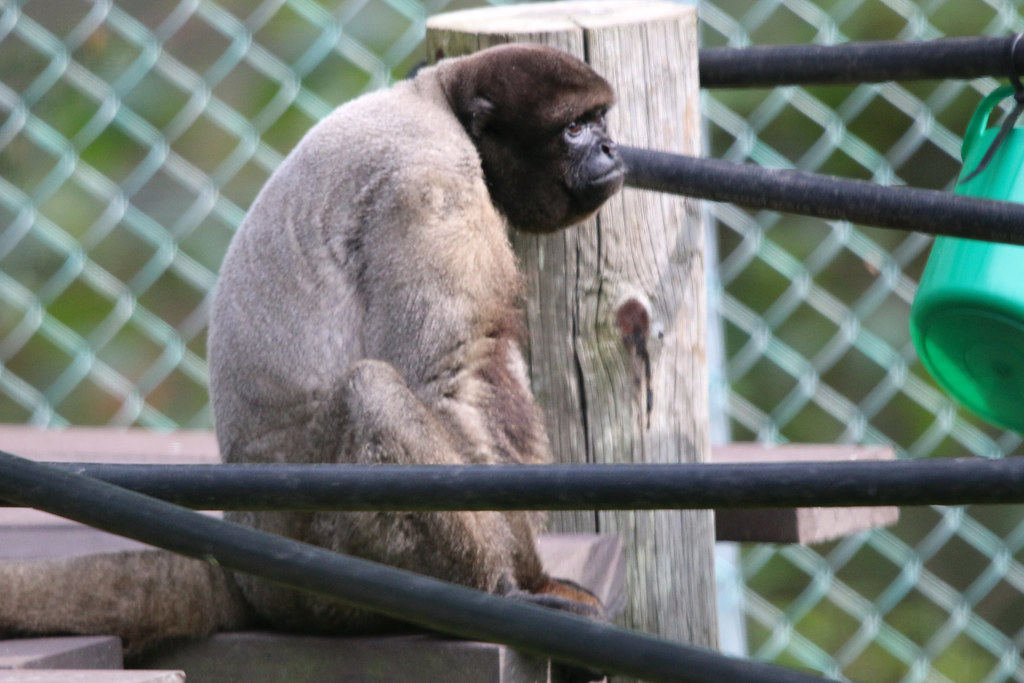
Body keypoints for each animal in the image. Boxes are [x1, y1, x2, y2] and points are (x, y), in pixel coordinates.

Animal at [0, 43, 624, 657]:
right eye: (574, 129)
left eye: (600, 121)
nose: (611, 147)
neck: (436, 100)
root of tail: (248, 562)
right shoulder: (434, 188)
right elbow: (439, 384)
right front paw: (521, 581)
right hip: (326, 551)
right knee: (375, 391)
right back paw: (491, 592)